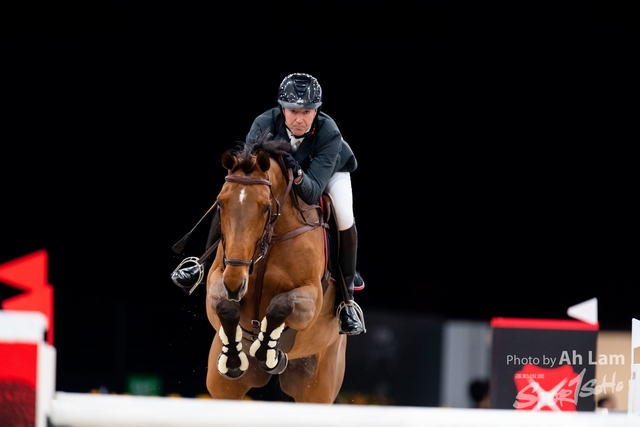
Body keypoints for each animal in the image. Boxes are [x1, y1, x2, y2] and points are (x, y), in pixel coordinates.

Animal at [203, 136, 347, 403]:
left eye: (264, 207)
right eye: (220, 203)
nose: (235, 284)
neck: (270, 241)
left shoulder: (311, 299)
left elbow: (280, 305)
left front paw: (267, 352)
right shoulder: (219, 277)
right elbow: (225, 306)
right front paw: (234, 357)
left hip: (319, 385)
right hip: (224, 388)